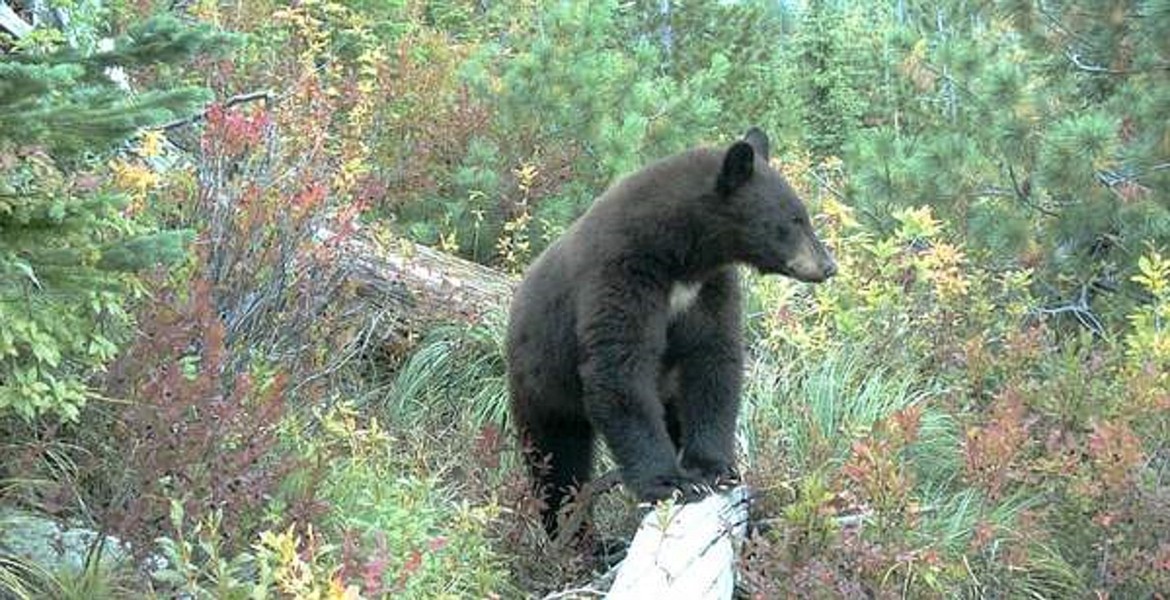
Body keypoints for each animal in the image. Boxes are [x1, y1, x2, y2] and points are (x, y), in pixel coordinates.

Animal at [507, 126, 837, 533]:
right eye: (793, 220)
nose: (828, 266)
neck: (681, 256)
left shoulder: (708, 288)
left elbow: (713, 360)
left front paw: (713, 468)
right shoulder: (621, 274)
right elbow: (620, 368)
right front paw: (670, 482)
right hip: (545, 390)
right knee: (558, 467)